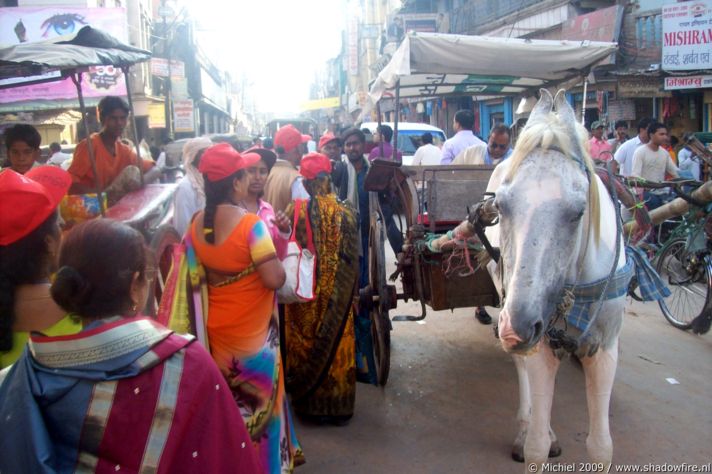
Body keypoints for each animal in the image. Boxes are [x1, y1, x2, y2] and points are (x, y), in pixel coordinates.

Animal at [484, 89, 628, 470]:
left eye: (578, 212)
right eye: (500, 206)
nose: (515, 328)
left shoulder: (605, 350)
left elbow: (602, 447)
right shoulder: (538, 341)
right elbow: (536, 448)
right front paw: (534, 436)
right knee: (523, 371)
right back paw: (528, 424)